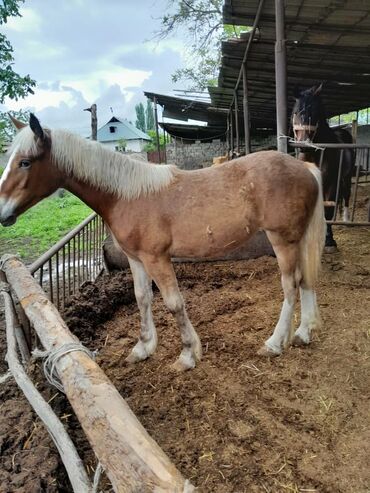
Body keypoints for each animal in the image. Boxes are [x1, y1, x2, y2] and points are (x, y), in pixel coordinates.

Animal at [0, 115, 326, 368]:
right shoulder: (135, 258)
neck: (126, 195)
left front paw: (188, 355)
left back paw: (275, 343)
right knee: (307, 280)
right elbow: (142, 298)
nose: (2, 212)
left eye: (25, 162)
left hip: (282, 240)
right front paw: (143, 347)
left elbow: (173, 303)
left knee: (290, 285)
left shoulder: (157, 258)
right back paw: (303, 333)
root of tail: (305, 168)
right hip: (298, 239)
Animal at [292, 83, 356, 250]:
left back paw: (346, 220)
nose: (303, 145)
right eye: (295, 112)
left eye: (315, 114)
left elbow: (327, 210)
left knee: (346, 195)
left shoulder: (331, 184)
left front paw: (329, 241)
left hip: (346, 177)